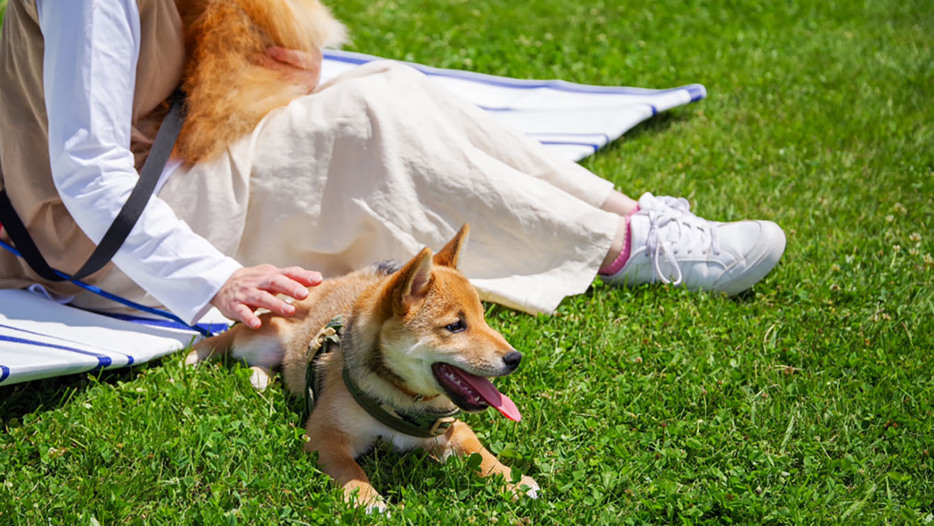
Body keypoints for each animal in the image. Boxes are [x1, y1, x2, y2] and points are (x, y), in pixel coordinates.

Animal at [188, 226, 540, 512]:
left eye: (483, 318)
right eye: (455, 326)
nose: (515, 358)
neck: (401, 400)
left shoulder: (449, 429)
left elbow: (478, 450)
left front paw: (512, 479)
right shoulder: (324, 436)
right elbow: (349, 470)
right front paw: (366, 498)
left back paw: (261, 377)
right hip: (264, 339)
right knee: (236, 336)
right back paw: (200, 355)